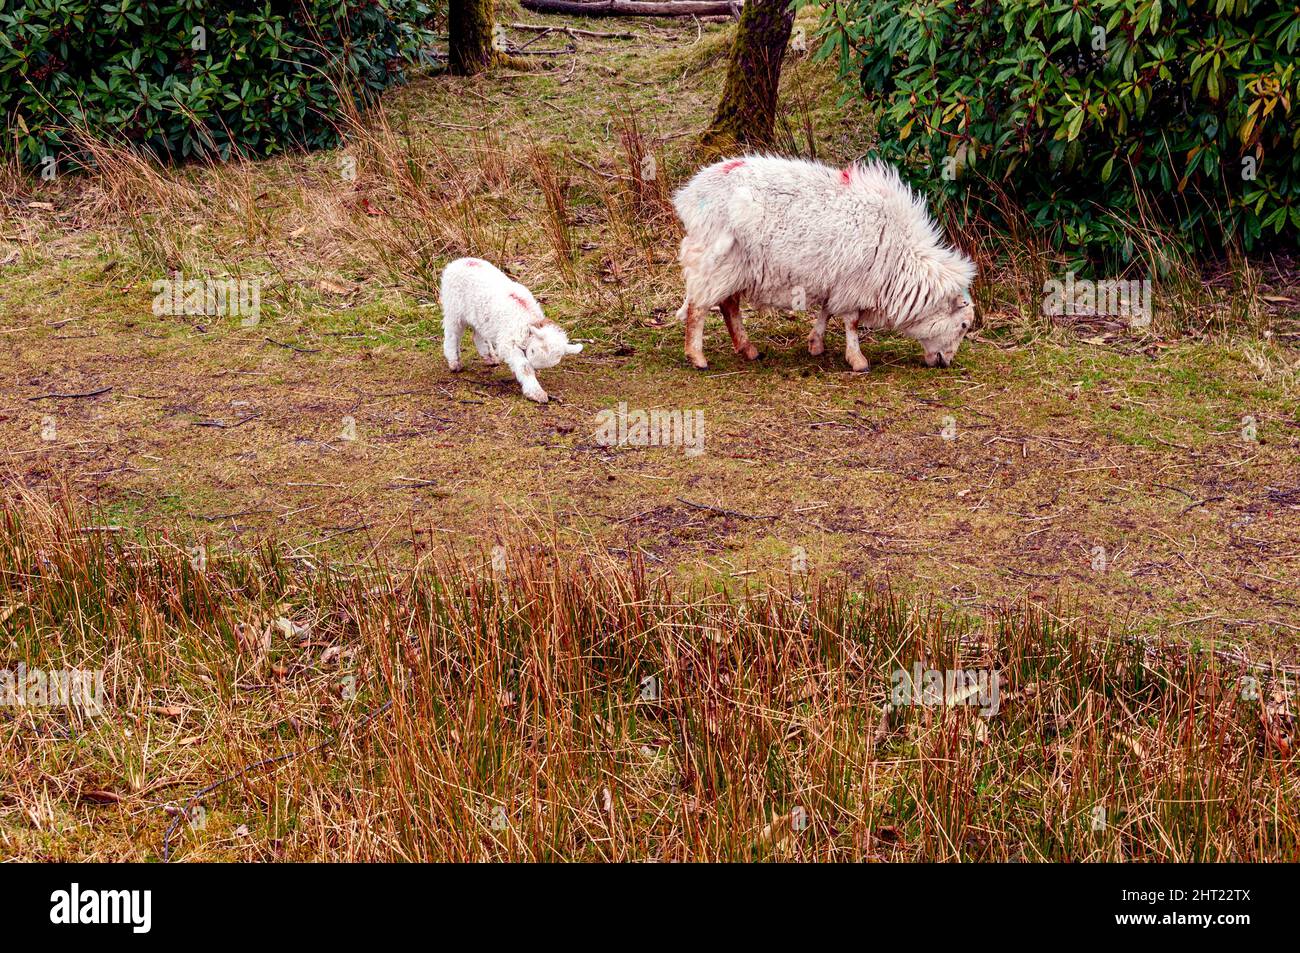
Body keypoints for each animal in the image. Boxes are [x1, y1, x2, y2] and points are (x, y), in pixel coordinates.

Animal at [439, 256, 582, 400]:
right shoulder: (510, 342)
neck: (528, 321)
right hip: (453, 308)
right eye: (533, 351)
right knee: (452, 335)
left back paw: (490, 358)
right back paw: (454, 363)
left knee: (477, 335)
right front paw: (536, 392)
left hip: (479, 315)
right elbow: (524, 367)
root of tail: (459, 261)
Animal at [676, 155, 972, 371]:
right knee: (698, 308)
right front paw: (858, 361)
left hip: (734, 269)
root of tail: (690, 195)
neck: (901, 258)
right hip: (716, 260)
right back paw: (697, 357)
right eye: (963, 326)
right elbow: (851, 323)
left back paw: (748, 349)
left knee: (728, 306)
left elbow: (827, 311)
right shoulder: (855, 283)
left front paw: (816, 344)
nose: (946, 363)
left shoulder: (836, 280)